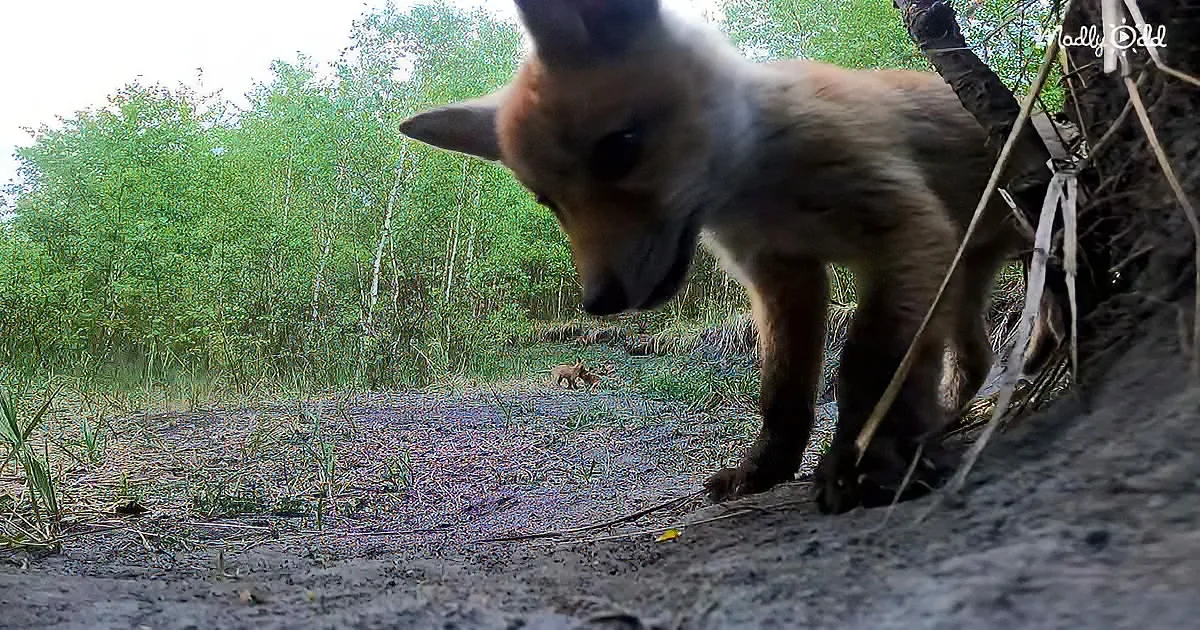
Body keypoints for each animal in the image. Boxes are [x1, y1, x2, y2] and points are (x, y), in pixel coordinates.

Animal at [398, 0, 1064, 514]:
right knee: (977, 356)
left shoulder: (905, 231)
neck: (763, 191)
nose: (599, 302)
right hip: (968, 270)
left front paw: (869, 461)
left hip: (1021, 229)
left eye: (619, 150)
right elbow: (783, 390)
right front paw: (764, 472)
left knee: (1045, 303)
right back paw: (958, 416)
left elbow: (870, 366)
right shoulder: (781, 275)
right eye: (547, 200)